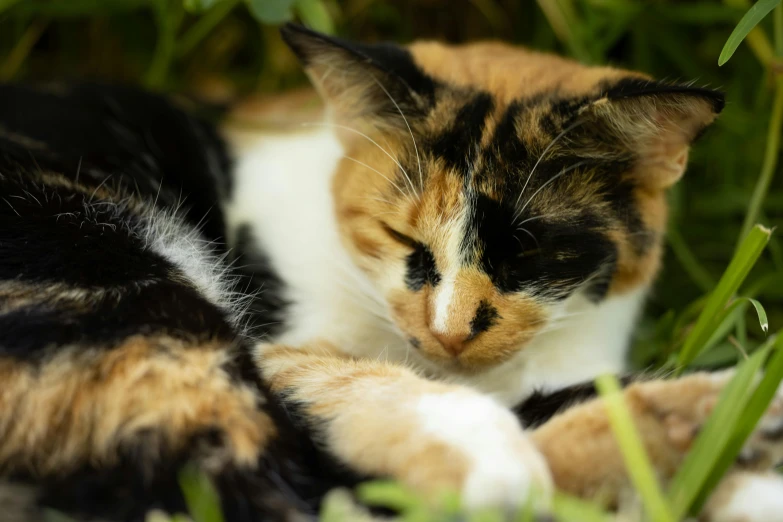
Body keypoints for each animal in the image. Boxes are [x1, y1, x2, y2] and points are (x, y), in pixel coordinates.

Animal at [1, 23, 783, 520]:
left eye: (527, 251)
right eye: (399, 234)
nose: (449, 332)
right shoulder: (281, 342)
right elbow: (353, 381)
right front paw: (481, 451)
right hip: (112, 274)